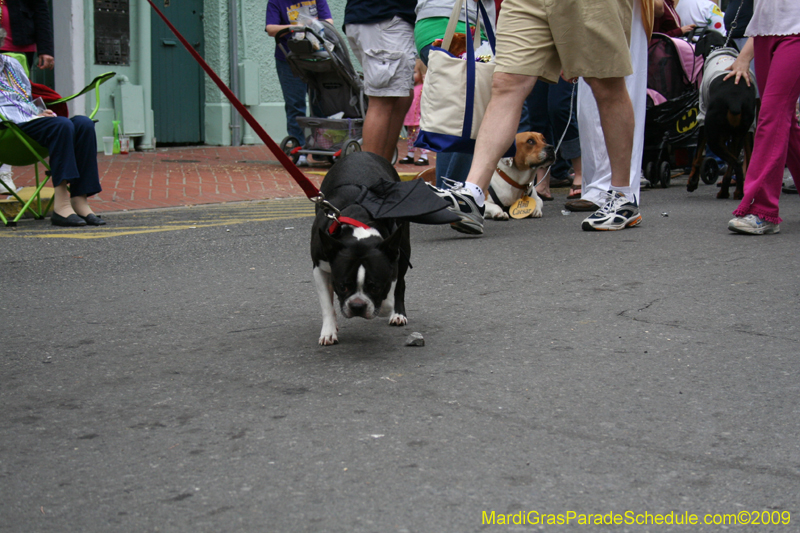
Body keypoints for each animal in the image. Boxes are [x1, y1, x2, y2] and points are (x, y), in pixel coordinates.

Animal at [310, 152, 410, 348]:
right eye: (343, 286)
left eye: (375, 287)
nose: (357, 305)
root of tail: (361, 152)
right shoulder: (319, 268)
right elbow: (326, 304)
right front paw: (329, 331)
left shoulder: (392, 263)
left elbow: (387, 300)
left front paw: (385, 307)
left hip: (403, 248)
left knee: (401, 285)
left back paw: (398, 314)